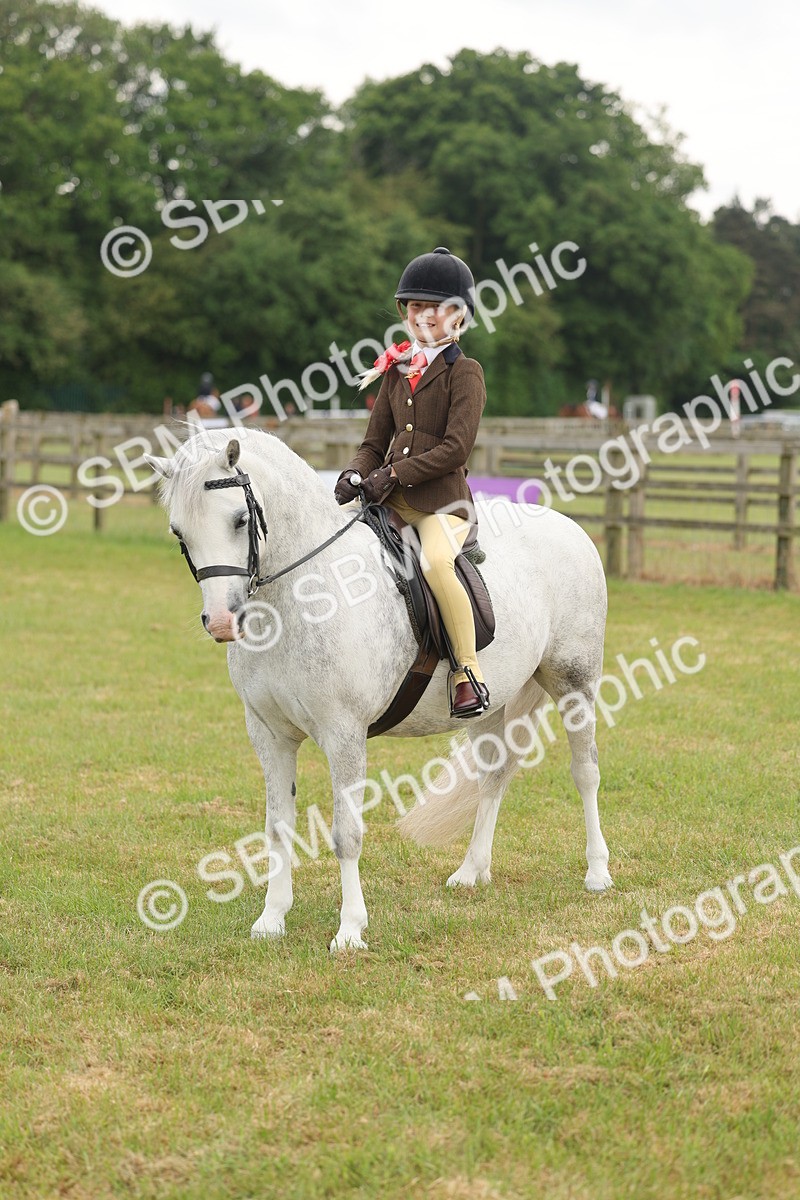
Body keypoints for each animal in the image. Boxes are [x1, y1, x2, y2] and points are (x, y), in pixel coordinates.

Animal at [145, 427, 613, 951]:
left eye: (240, 519)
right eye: (179, 532)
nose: (223, 621)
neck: (304, 592)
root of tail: (569, 527)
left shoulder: (344, 733)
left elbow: (346, 833)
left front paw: (350, 930)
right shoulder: (269, 734)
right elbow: (277, 827)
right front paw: (272, 918)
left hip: (574, 682)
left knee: (585, 771)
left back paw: (597, 873)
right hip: (492, 706)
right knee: (493, 776)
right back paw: (471, 872)